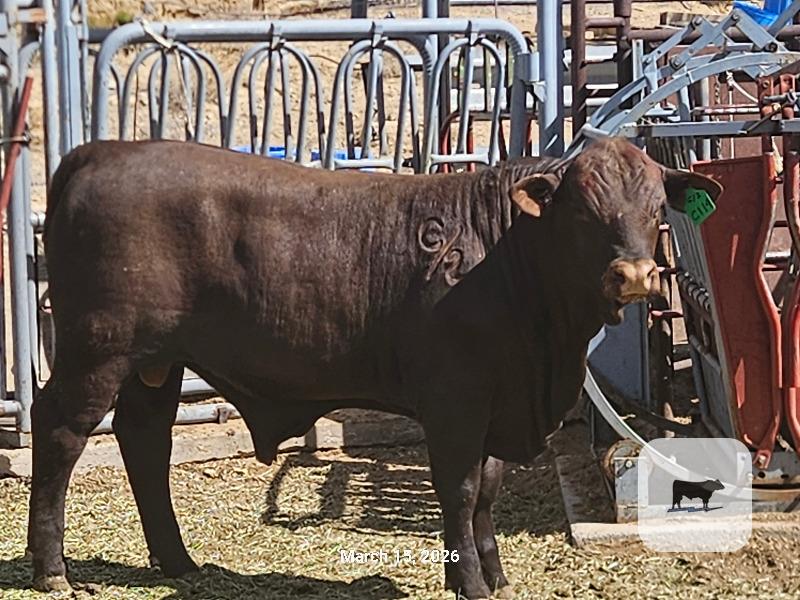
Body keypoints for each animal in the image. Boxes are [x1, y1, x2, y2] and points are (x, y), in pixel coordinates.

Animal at [27, 137, 722, 598]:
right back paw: (52, 569)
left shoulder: (498, 400)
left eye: (655, 208)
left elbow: (488, 491)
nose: (634, 275)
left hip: (157, 363)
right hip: (98, 353)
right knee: (59, 432)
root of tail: (96, 153)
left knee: (145, 441)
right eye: (583, 209)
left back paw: (177, 562)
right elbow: (460, 489)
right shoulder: (455, 402)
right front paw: (468, 580)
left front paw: (494, 574)